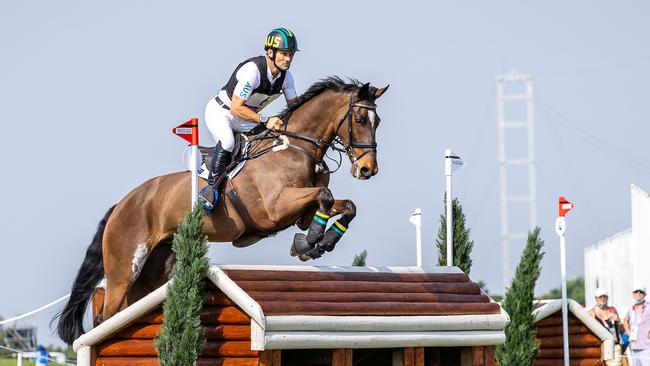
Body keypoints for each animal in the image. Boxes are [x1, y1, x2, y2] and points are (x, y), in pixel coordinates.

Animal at [55, 76, 384, 344]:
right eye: (359, 118)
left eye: (377, 120)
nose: (368, 170)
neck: (295, 147)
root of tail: (121, 205)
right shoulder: (275, 208)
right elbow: (325, 196)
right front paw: (310, 243)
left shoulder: (300, 212)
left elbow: (344, 206)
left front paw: (317, 243)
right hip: (124, 270)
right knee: (106, 317)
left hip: (151, 274)